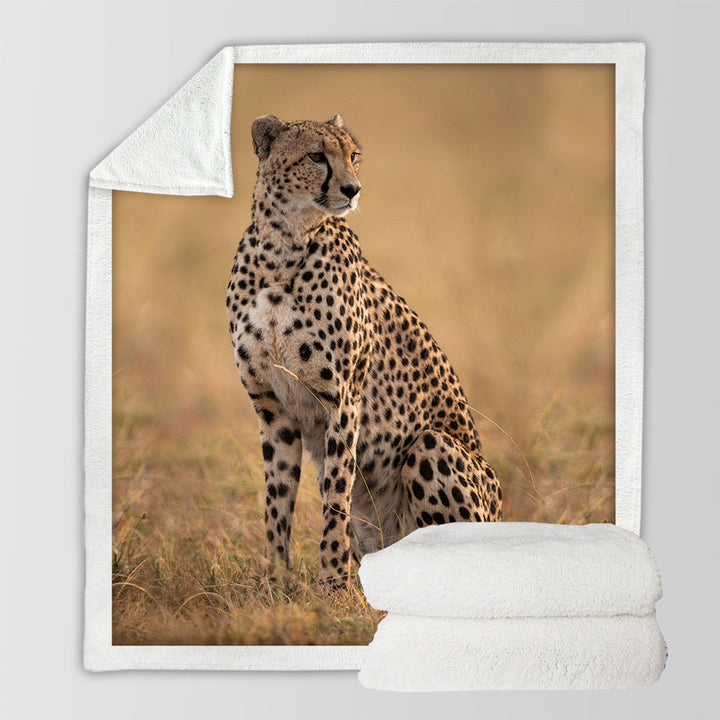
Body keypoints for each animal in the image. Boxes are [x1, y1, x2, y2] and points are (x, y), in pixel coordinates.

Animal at [226, 113, 502, 589]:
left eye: (353, 155)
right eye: (316, 156)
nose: (353, 189)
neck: (283, 246)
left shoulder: (342, 399)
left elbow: (336, 496)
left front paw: (334, 582)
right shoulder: (272, 409)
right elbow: (276, 501)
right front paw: (275, 582)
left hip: (433, 446)